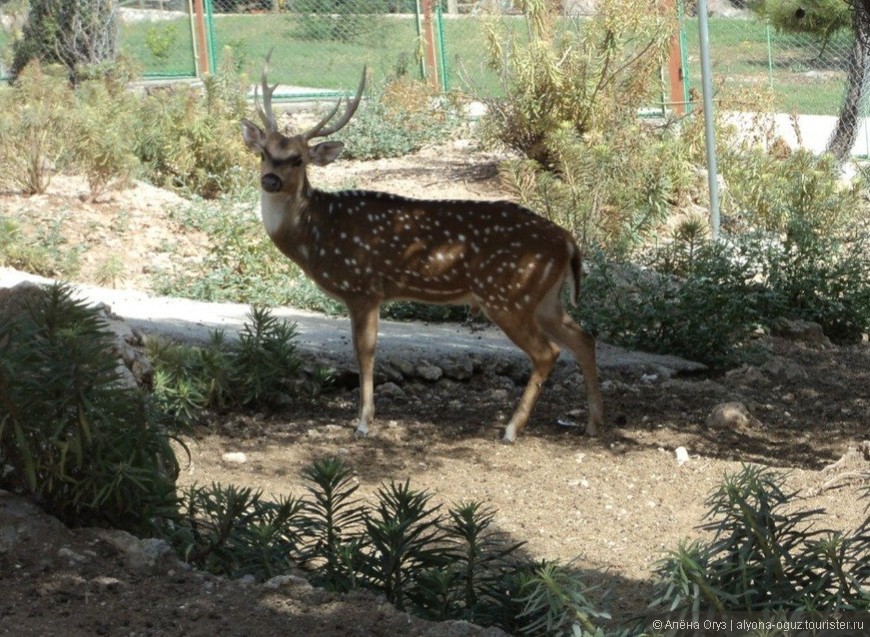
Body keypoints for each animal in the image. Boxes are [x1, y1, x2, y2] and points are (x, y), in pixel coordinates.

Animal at [240, 56, 608, 442]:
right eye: (264, 153)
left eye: (298, 159)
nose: (270, 180)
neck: (318, 234)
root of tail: (567, 240)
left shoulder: (363, 287)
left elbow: (365, 352)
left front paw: (363, 422)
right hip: (544, 298)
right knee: (585, 338)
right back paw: (593, 424)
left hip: (508, 294)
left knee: (547, 352)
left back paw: (511, 428)